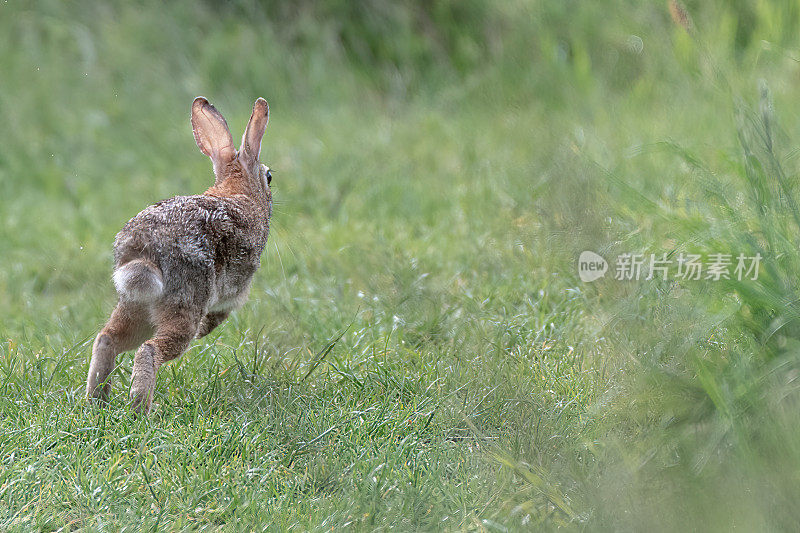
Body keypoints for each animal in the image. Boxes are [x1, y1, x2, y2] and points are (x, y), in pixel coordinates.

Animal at [84, 97, 272, 414]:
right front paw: (206, 330)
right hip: (185, 303)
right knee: (150, 350)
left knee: (107, 339)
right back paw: (140, 411)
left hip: (135, 306)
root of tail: (143, 252)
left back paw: (95, 403)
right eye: (269, 176)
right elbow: (221, 313)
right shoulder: (234, 292)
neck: (238, 191)